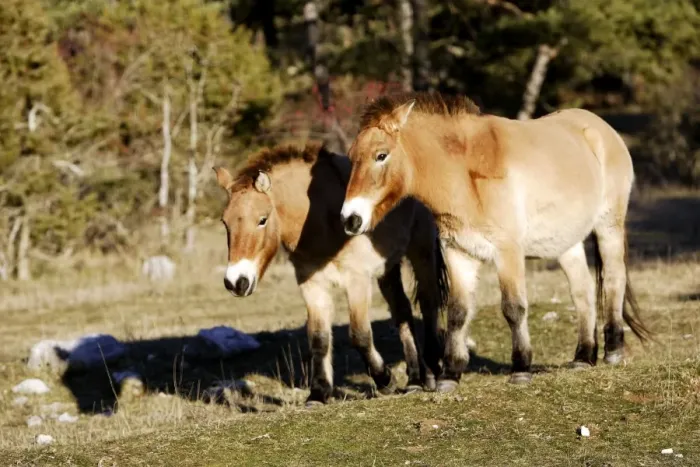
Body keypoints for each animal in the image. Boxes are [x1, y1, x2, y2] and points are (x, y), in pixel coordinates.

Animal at [213, 141, 455, 406]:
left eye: (262, 220)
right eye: (225, 223)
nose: (236, 282)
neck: (321, 220)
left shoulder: (357, 281)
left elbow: (360, 334)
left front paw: (385, 380)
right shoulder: (311, 285)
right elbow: (318, 337)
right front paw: (318, 393)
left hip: (421, 251)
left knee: (429, 304)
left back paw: (431, 373)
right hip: (388, 269)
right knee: (402, 311)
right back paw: (414, 380)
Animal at [340, 91, 651, 392]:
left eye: (381, 155)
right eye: (351, 157)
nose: (350, 219)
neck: (467, 174)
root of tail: (601, 128)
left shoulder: (507, 251)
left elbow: (513, 308)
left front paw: (521, 369)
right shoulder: (459, 254)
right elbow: (457, 312)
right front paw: (450, 375)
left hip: (609, 226)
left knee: (613, 280)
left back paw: (613, 351)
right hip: (566, 243)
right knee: (582, 291)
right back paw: (584, 357)